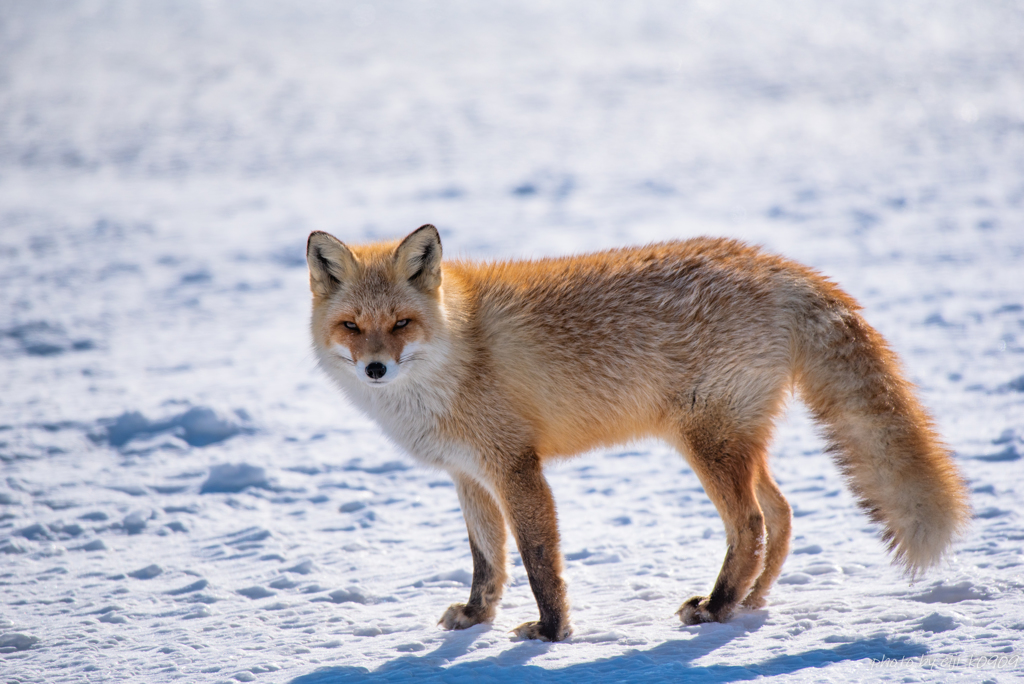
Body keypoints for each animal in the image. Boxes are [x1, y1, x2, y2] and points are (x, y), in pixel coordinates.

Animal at [303, 224, 966, 643]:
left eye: (401, 324)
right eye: (352, 326)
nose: (375, 369)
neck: (459, 355)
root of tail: (769, 261)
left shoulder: (515, 466)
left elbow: (539, 560)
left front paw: (551, 634)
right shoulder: (469, 474)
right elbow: (487, 561)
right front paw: (474, 617)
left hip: (706, 442)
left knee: (750, 524)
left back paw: (717, 606)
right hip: (735, 442)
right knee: (781, 515)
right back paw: (747, 603)